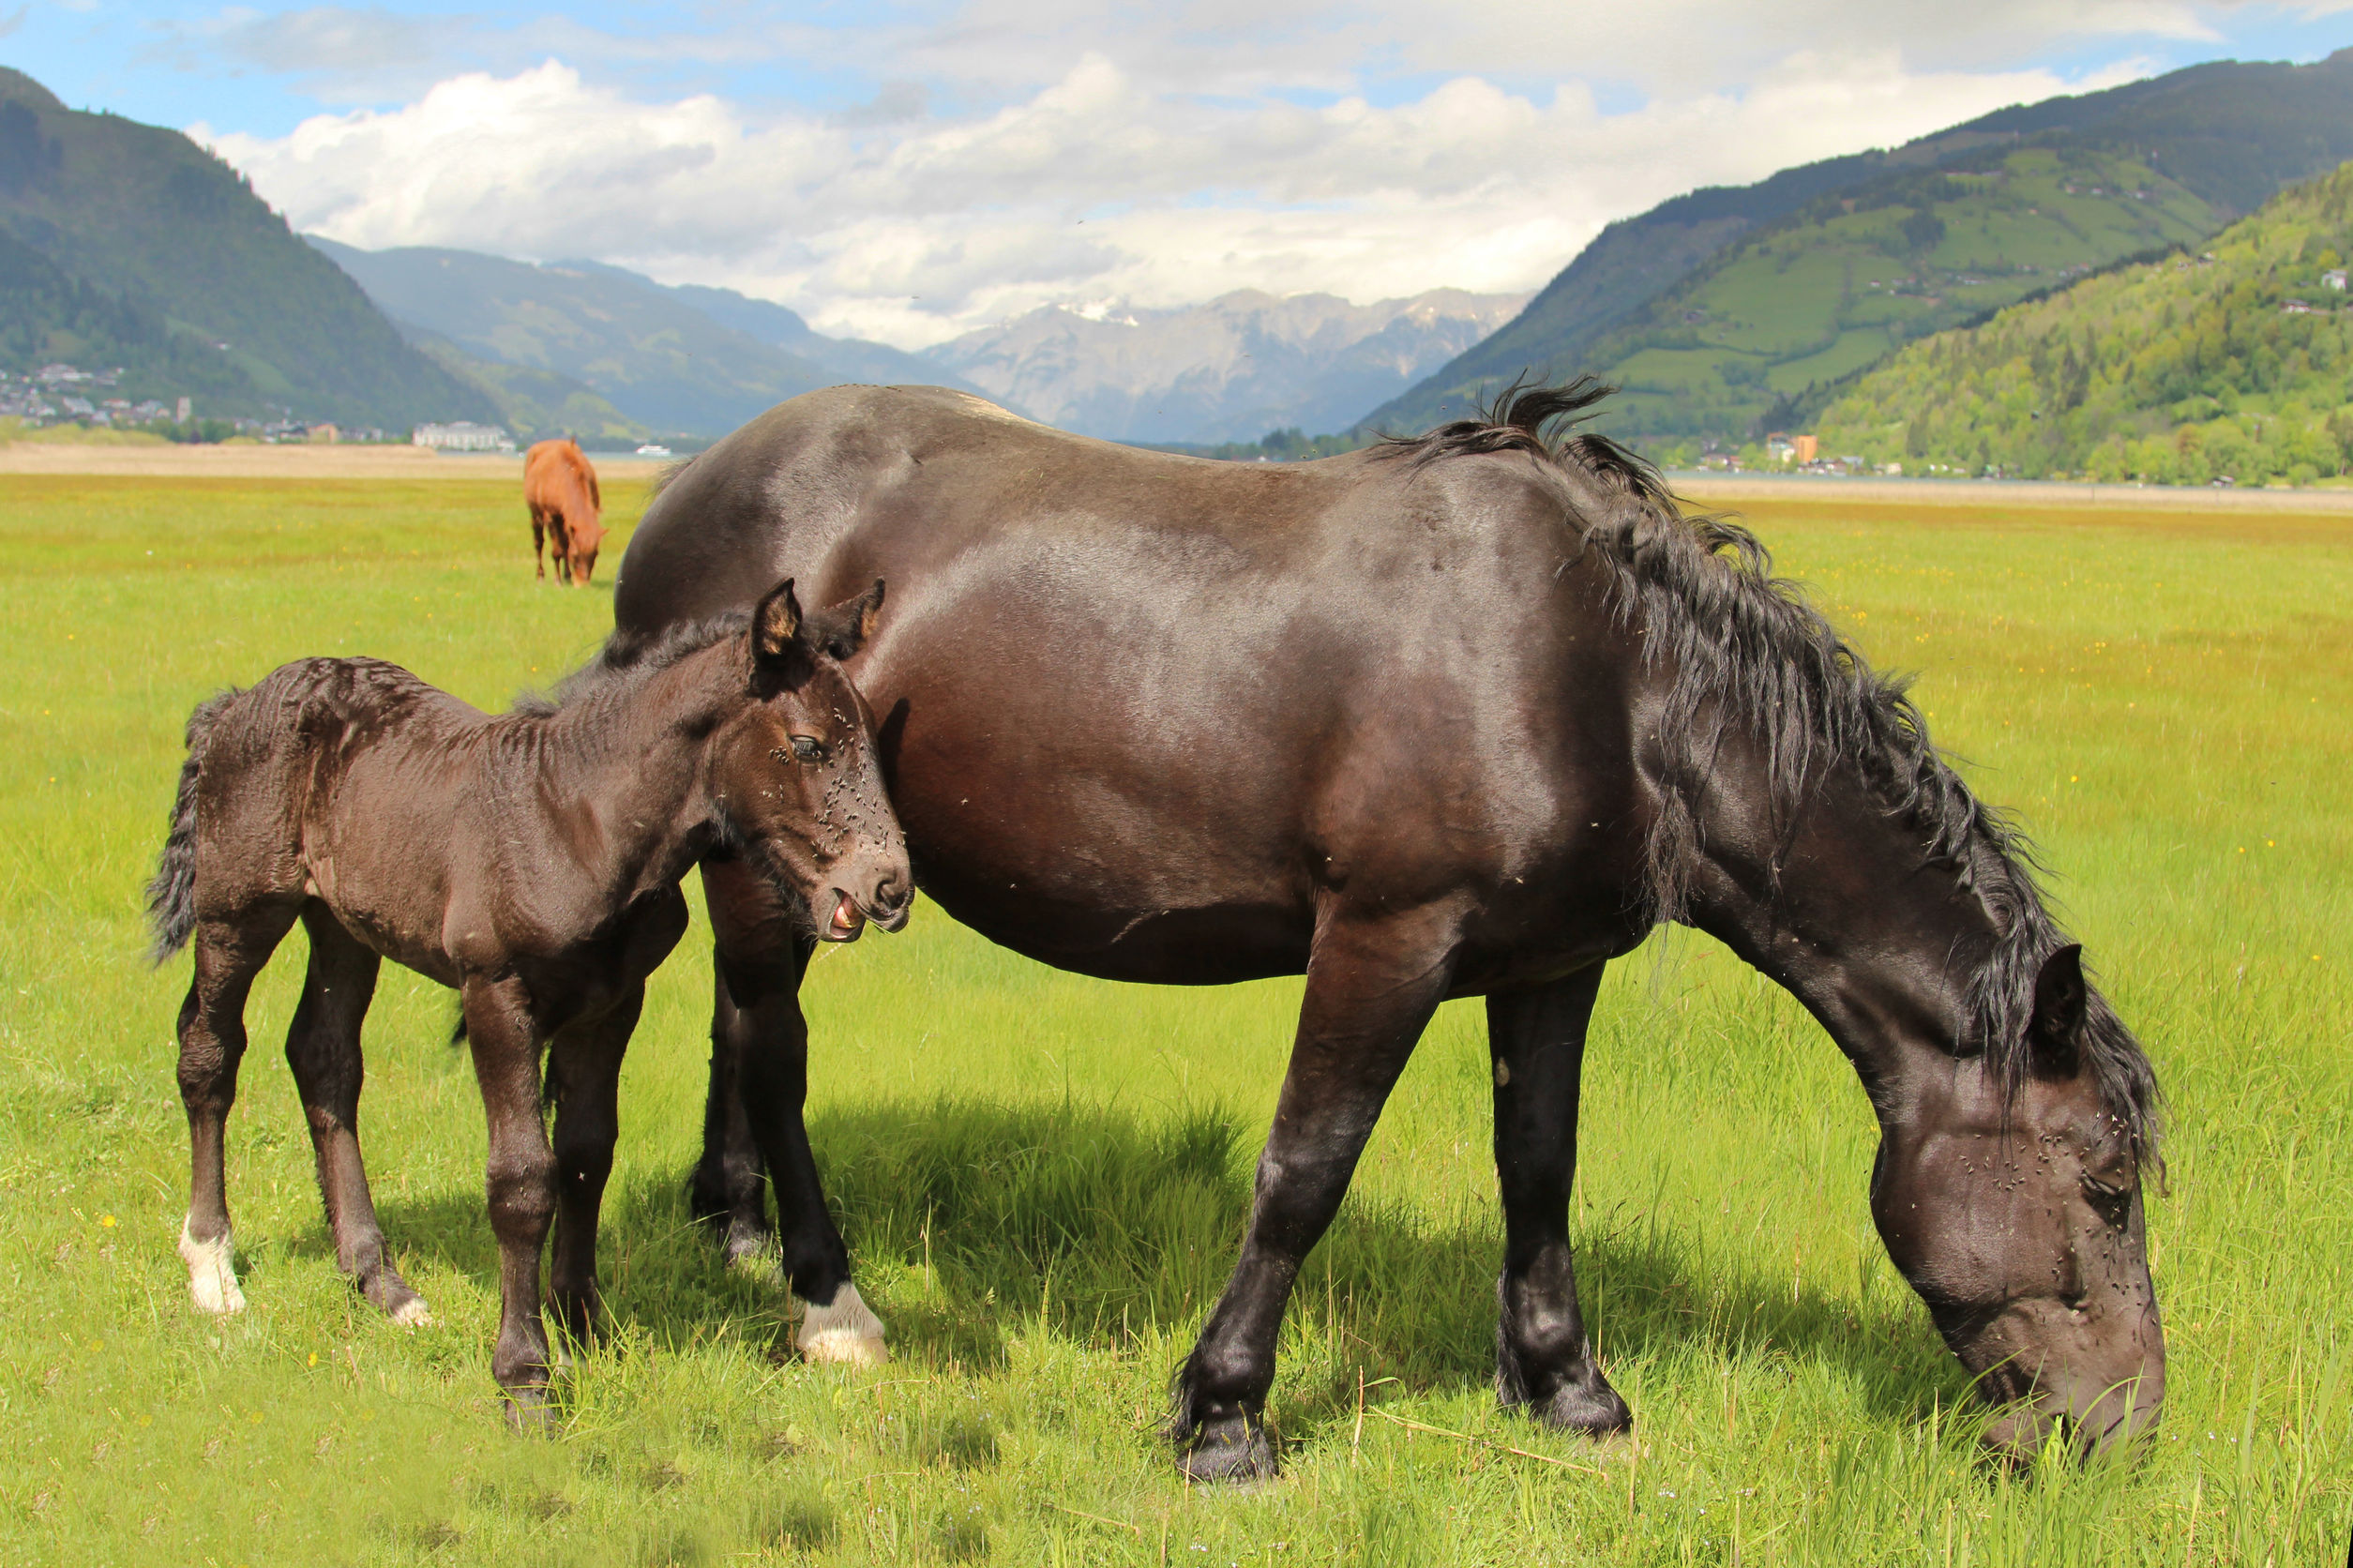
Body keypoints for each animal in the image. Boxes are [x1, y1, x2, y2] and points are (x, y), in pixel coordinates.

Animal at [149, 579, 908, 1412]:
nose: (889, 887)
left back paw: (381, 1285)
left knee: (323, 1057)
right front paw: (525, 1379)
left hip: (343, 924)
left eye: (872, 742)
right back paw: (212, 1268)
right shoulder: (496, 995)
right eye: (807, 745)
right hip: (239, 910)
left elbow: (585, 1155)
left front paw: (583, 1325)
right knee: (208, 1051)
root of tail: (236, 701)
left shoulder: (612, 1001)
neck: (576, 819)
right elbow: (521, 1179)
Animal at [529, 435, 607, 583]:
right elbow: (557, 550)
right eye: (575, 555)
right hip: (536, 514)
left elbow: (565, 544)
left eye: (595, 554)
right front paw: (557, 580)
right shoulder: (552, 516)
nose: (582, 584)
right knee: (539, 543)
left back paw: (567, 575)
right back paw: (541, 575)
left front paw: (566, 576)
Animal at [611, 381, 2164, 1478]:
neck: (1612, 676)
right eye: (2104, 1186)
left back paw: (732, 1228)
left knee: (739, 1027)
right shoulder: (1382, 942)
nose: (2123, 1433)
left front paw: (1569, 1390)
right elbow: (1306, 1171)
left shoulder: (1552, 965)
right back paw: (828, 1299)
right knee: (773, 1049)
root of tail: (687, 483)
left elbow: (1539, 1167)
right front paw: (1224, 1418)